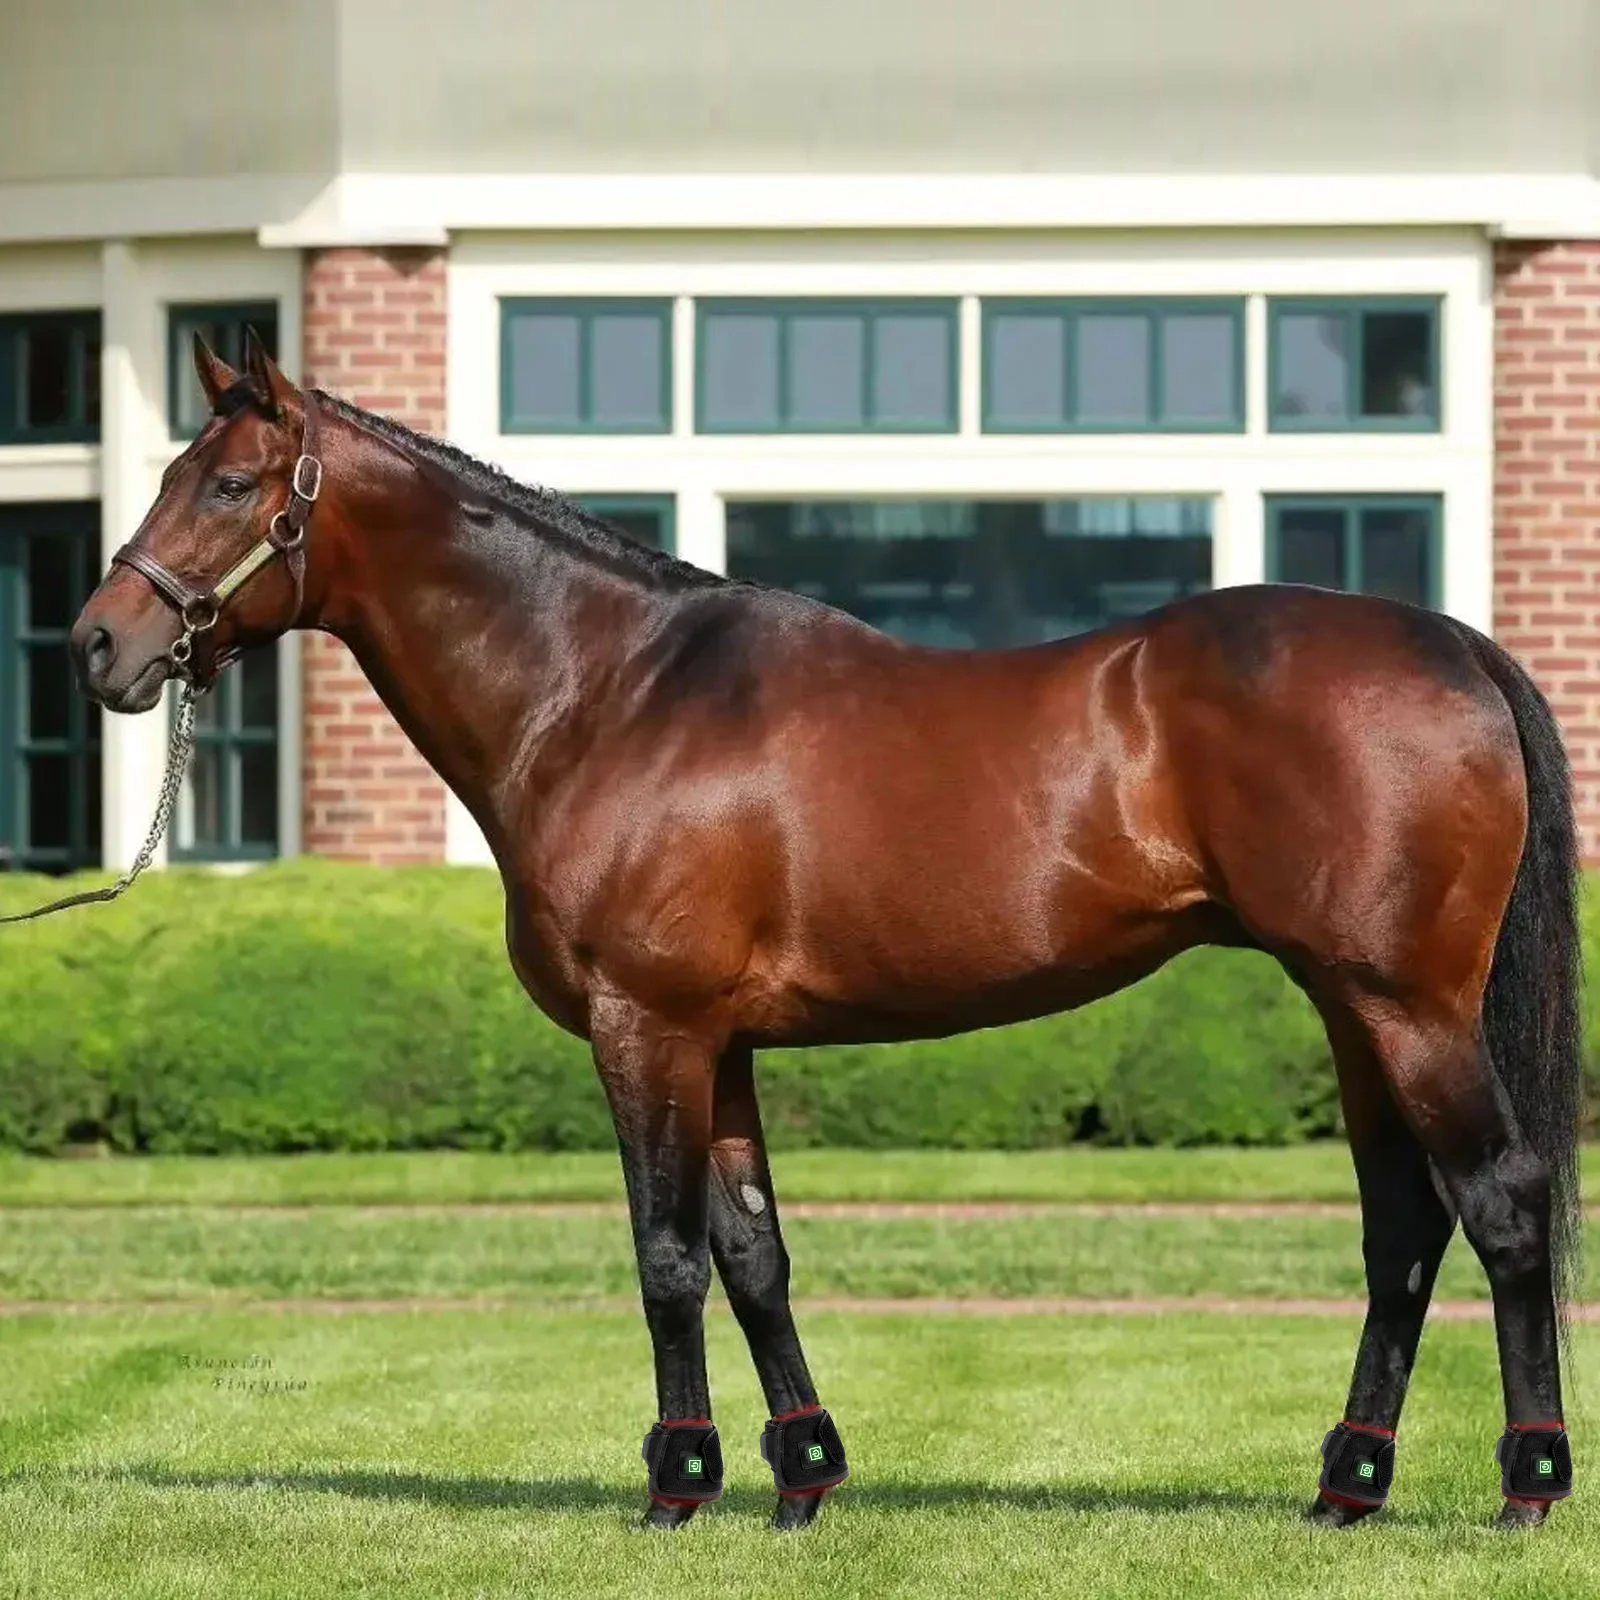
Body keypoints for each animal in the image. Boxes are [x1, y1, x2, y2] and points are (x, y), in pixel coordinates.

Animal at [69, 331, 1581, 1531]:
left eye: (225, 482)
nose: (98, 644)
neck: (607, 692)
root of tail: (1455, 646)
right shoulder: (722, 1043)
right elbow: (753, 1256)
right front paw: (801, 1480)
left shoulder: (647, 1029)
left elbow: (666, 1258)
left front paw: (677, 1488)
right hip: (1351, 1007)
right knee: (1402, 1227)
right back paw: (1345, 1488)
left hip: (1408, 1006)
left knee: (1500, 1202)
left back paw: (1525, 1488)